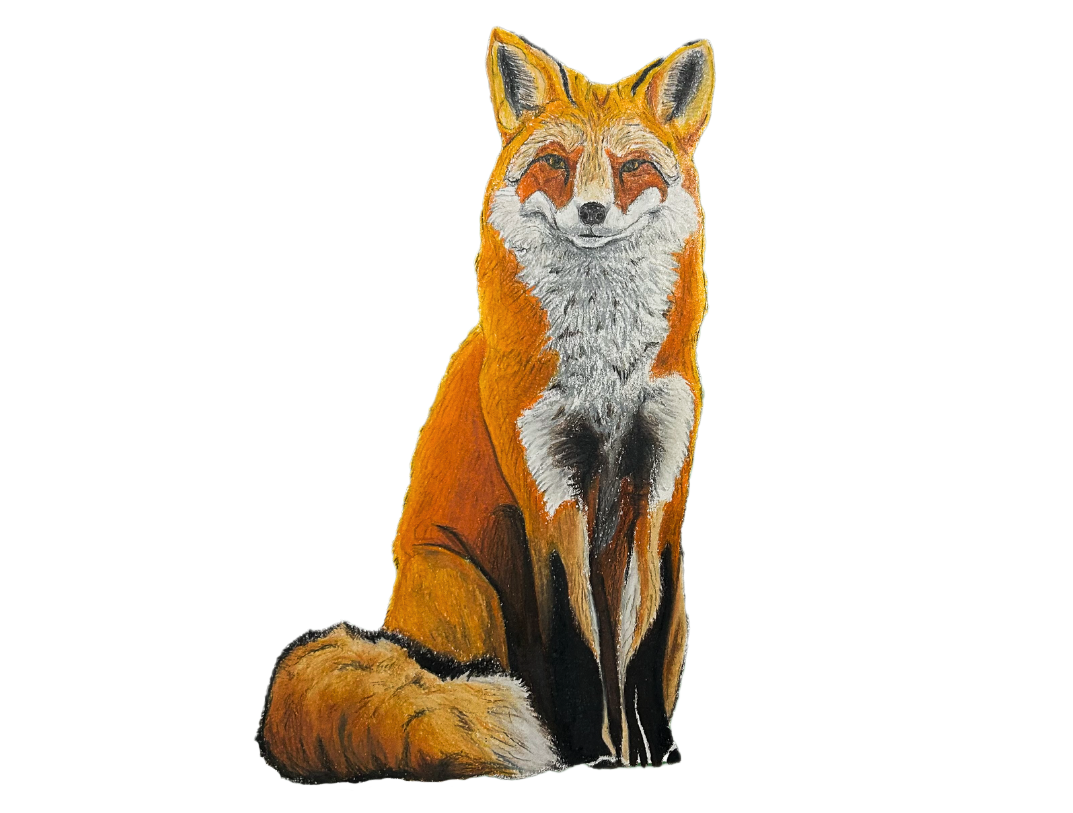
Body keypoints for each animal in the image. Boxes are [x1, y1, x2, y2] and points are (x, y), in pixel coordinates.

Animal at [256, 26, 714, 786]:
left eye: (631, 168)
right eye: (556, 163)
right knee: (461, 670)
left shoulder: (659, 485)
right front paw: (588, 751)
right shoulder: (546, 485)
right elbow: (573, 639)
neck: (606, 371)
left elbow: (640, 645)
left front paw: (651, 748)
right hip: (463, 582)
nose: (592, 212)